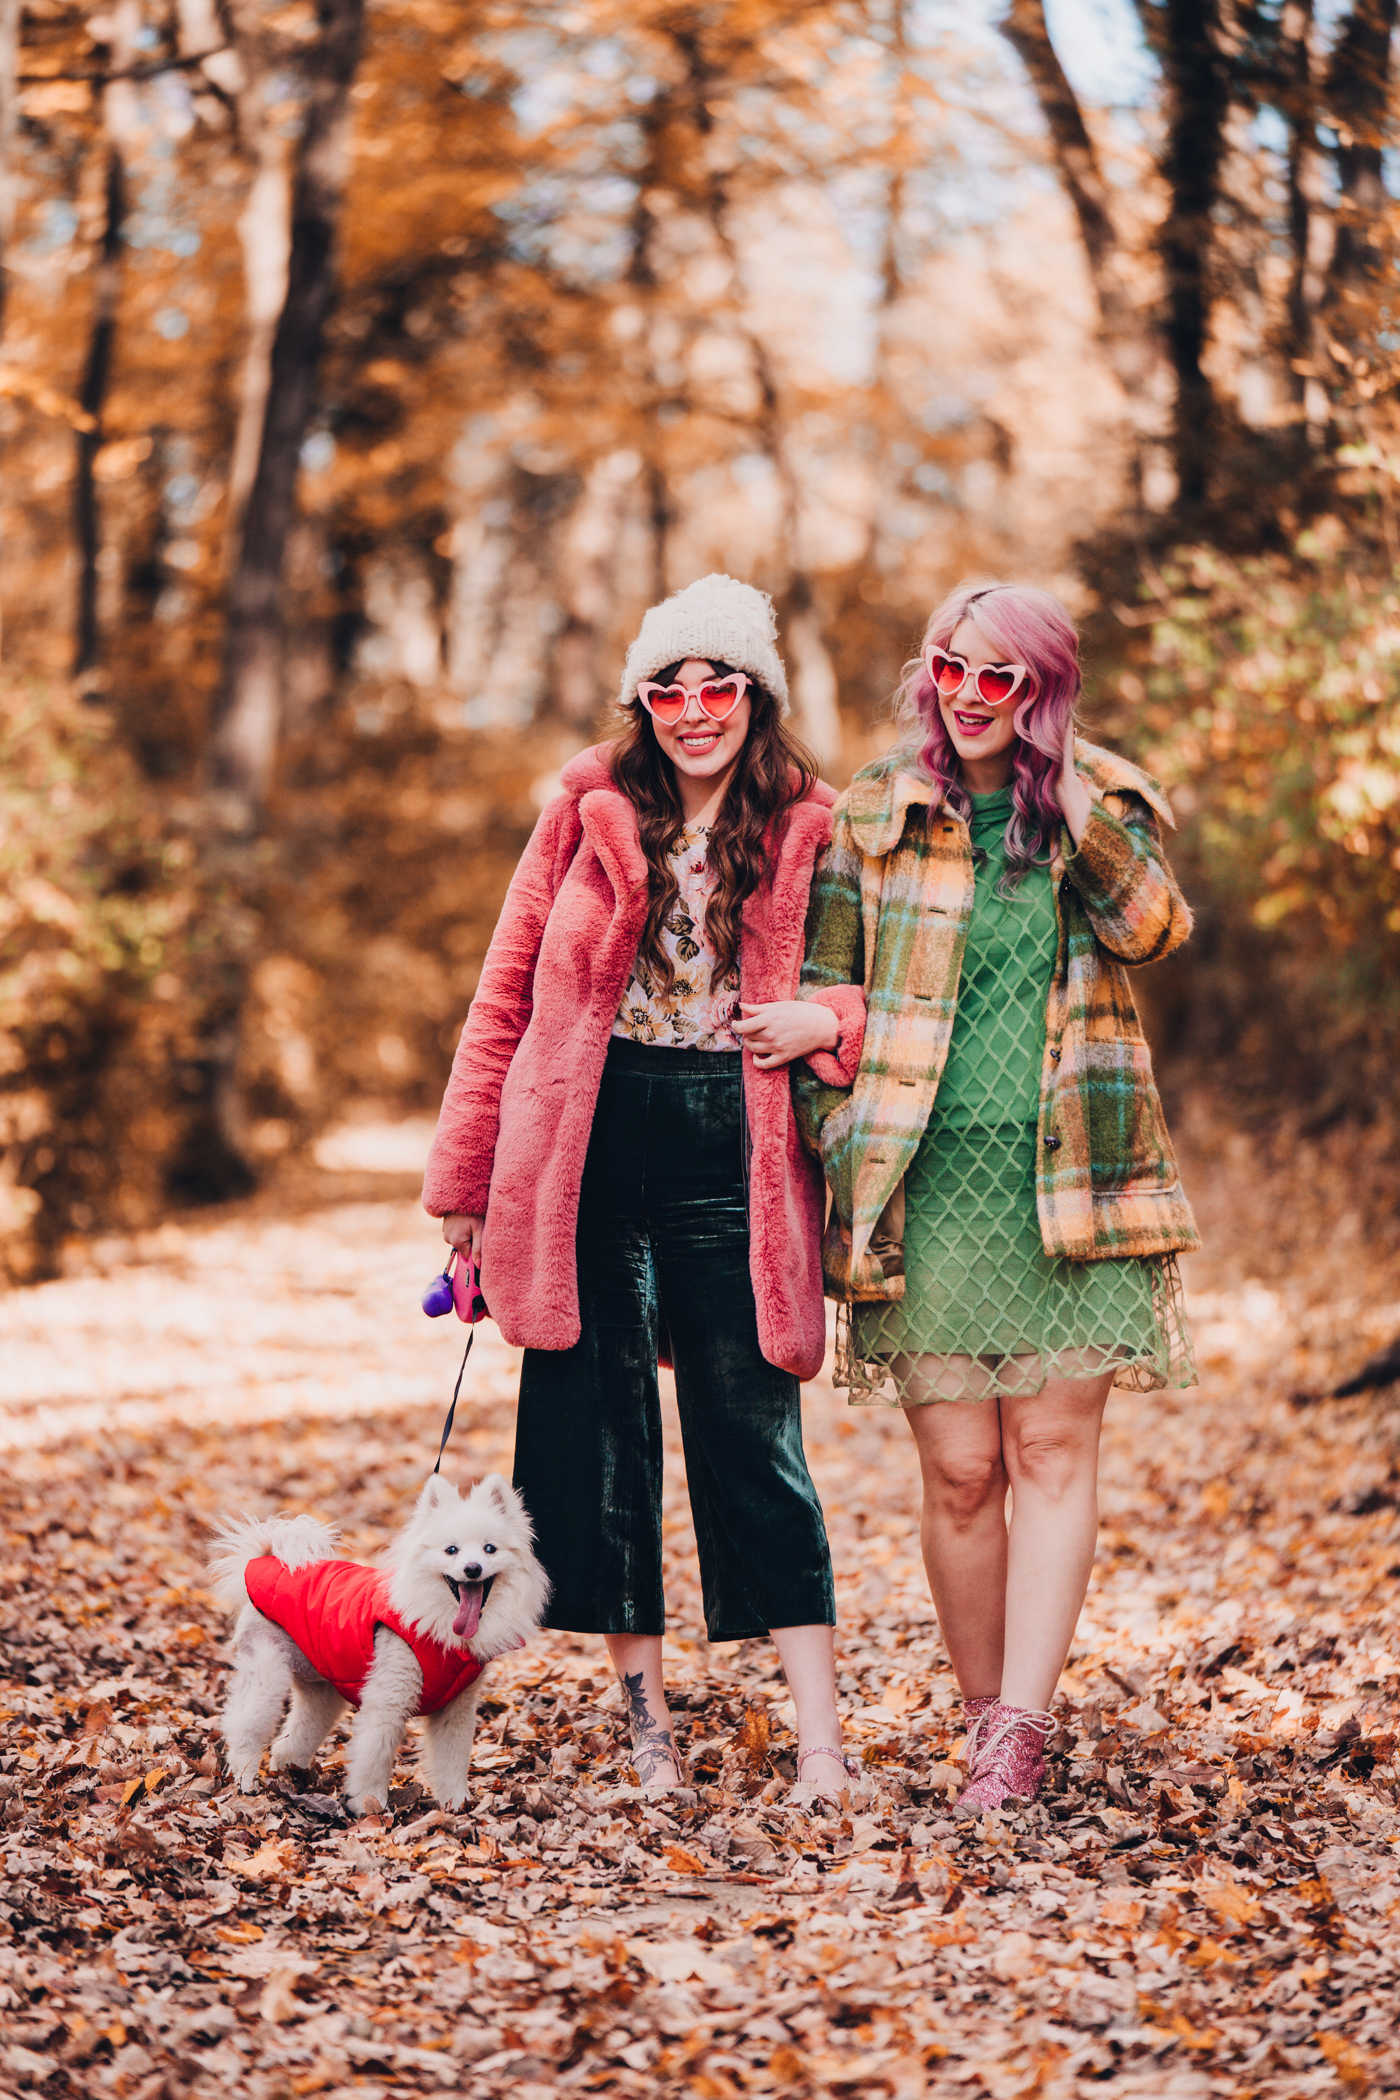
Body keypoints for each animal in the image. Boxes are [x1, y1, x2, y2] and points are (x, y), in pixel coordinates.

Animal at [210, 1478, 549, 1805]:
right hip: (266, 1677)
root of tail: (267, 1559)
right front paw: (369, 1805)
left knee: (291, 1741)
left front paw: (457, 1805)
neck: (437, 1623)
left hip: (322, 1692)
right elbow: (375, 1758)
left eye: (490, 1549)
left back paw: (293, 1777)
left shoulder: (456, 1710)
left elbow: (452, 1762)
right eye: (451, 1550)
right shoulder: (388, 1702)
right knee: (244, 1731)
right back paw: (245, 1781)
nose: (472, 1568)